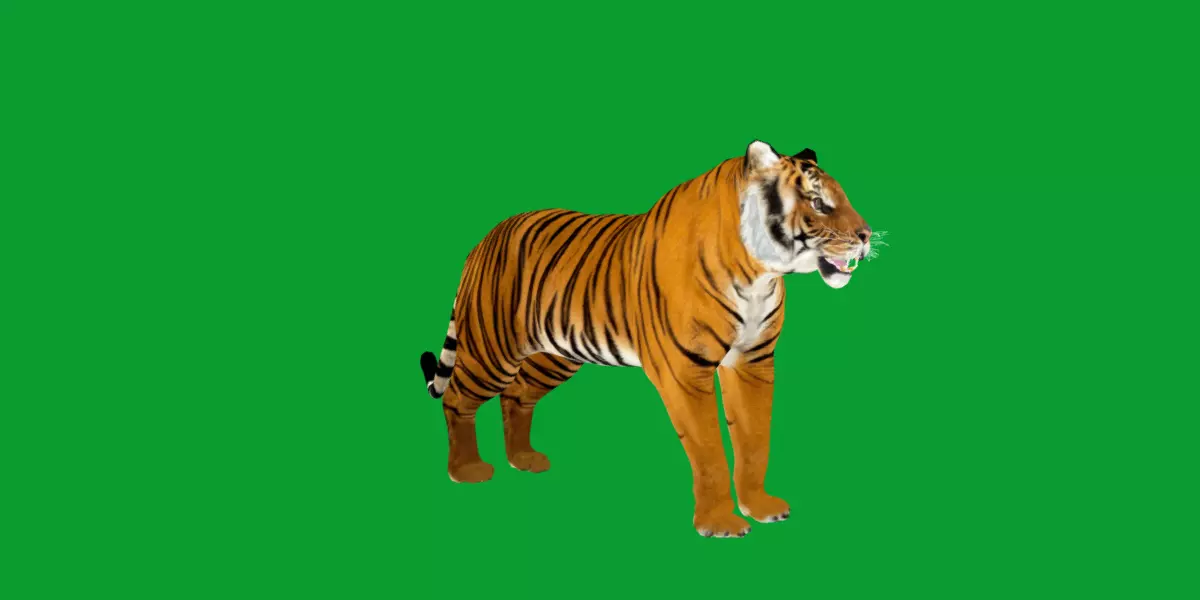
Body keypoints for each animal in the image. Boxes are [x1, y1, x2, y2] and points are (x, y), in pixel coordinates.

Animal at [418, 140, 873, 538]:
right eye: (818, 203)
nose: (868, 236)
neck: (759, 273)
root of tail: (486, 238)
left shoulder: (753, 360)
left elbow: (755, 437)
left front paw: (760, 506)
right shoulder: (685, 369)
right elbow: (709, 449)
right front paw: (719, 523)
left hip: (554, 356)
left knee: (516, 396)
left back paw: (524, 459)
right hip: (492, 350)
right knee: (457, 398)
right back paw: (466, 470)